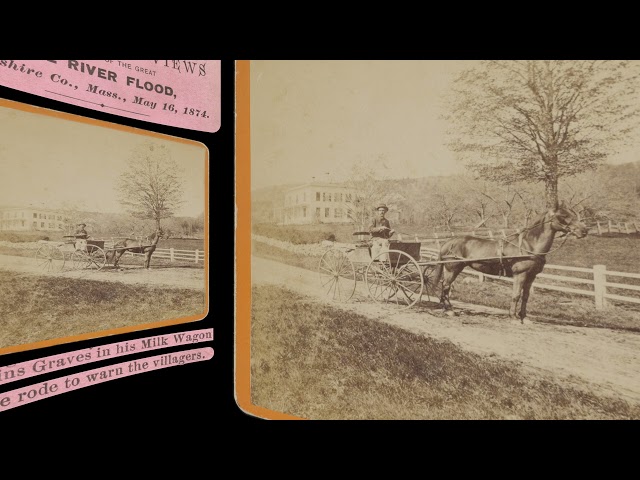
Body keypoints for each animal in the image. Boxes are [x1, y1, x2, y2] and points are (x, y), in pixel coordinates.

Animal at [432, 201, 588, 324]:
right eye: (563, 216)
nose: (584, 230)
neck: (528, 246)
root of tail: (449, 242)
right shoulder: (520, 274)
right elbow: (516, 295)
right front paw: (513, 317)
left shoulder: (531, 276)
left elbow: (525, 297)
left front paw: (524, 317)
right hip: (453, 269)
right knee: (446, 286)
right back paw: (450, 310)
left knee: (445, 286)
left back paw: (446, 308)